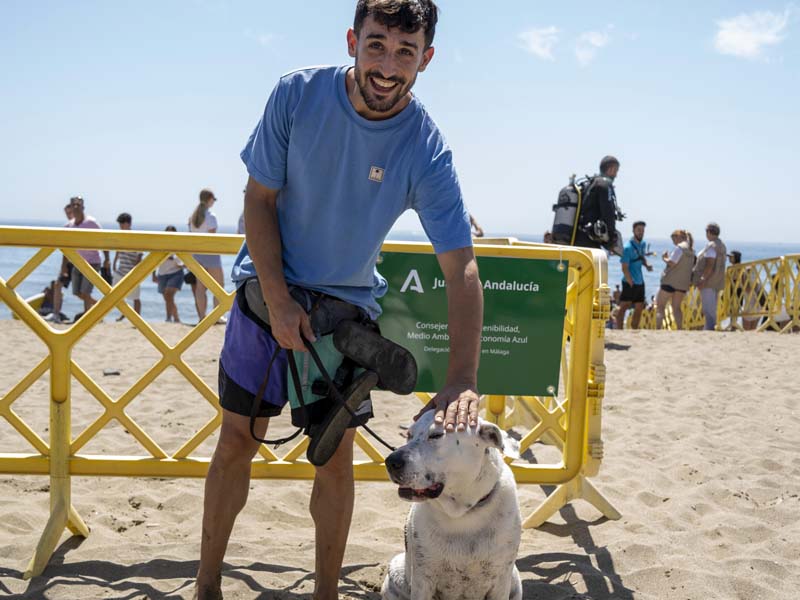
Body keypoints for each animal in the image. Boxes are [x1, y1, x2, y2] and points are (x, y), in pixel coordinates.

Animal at [382, 412, 524, 600]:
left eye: (436, 435)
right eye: (409, 435)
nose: (391, 461)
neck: (463, 513)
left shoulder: (501, 581)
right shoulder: (422, 580)